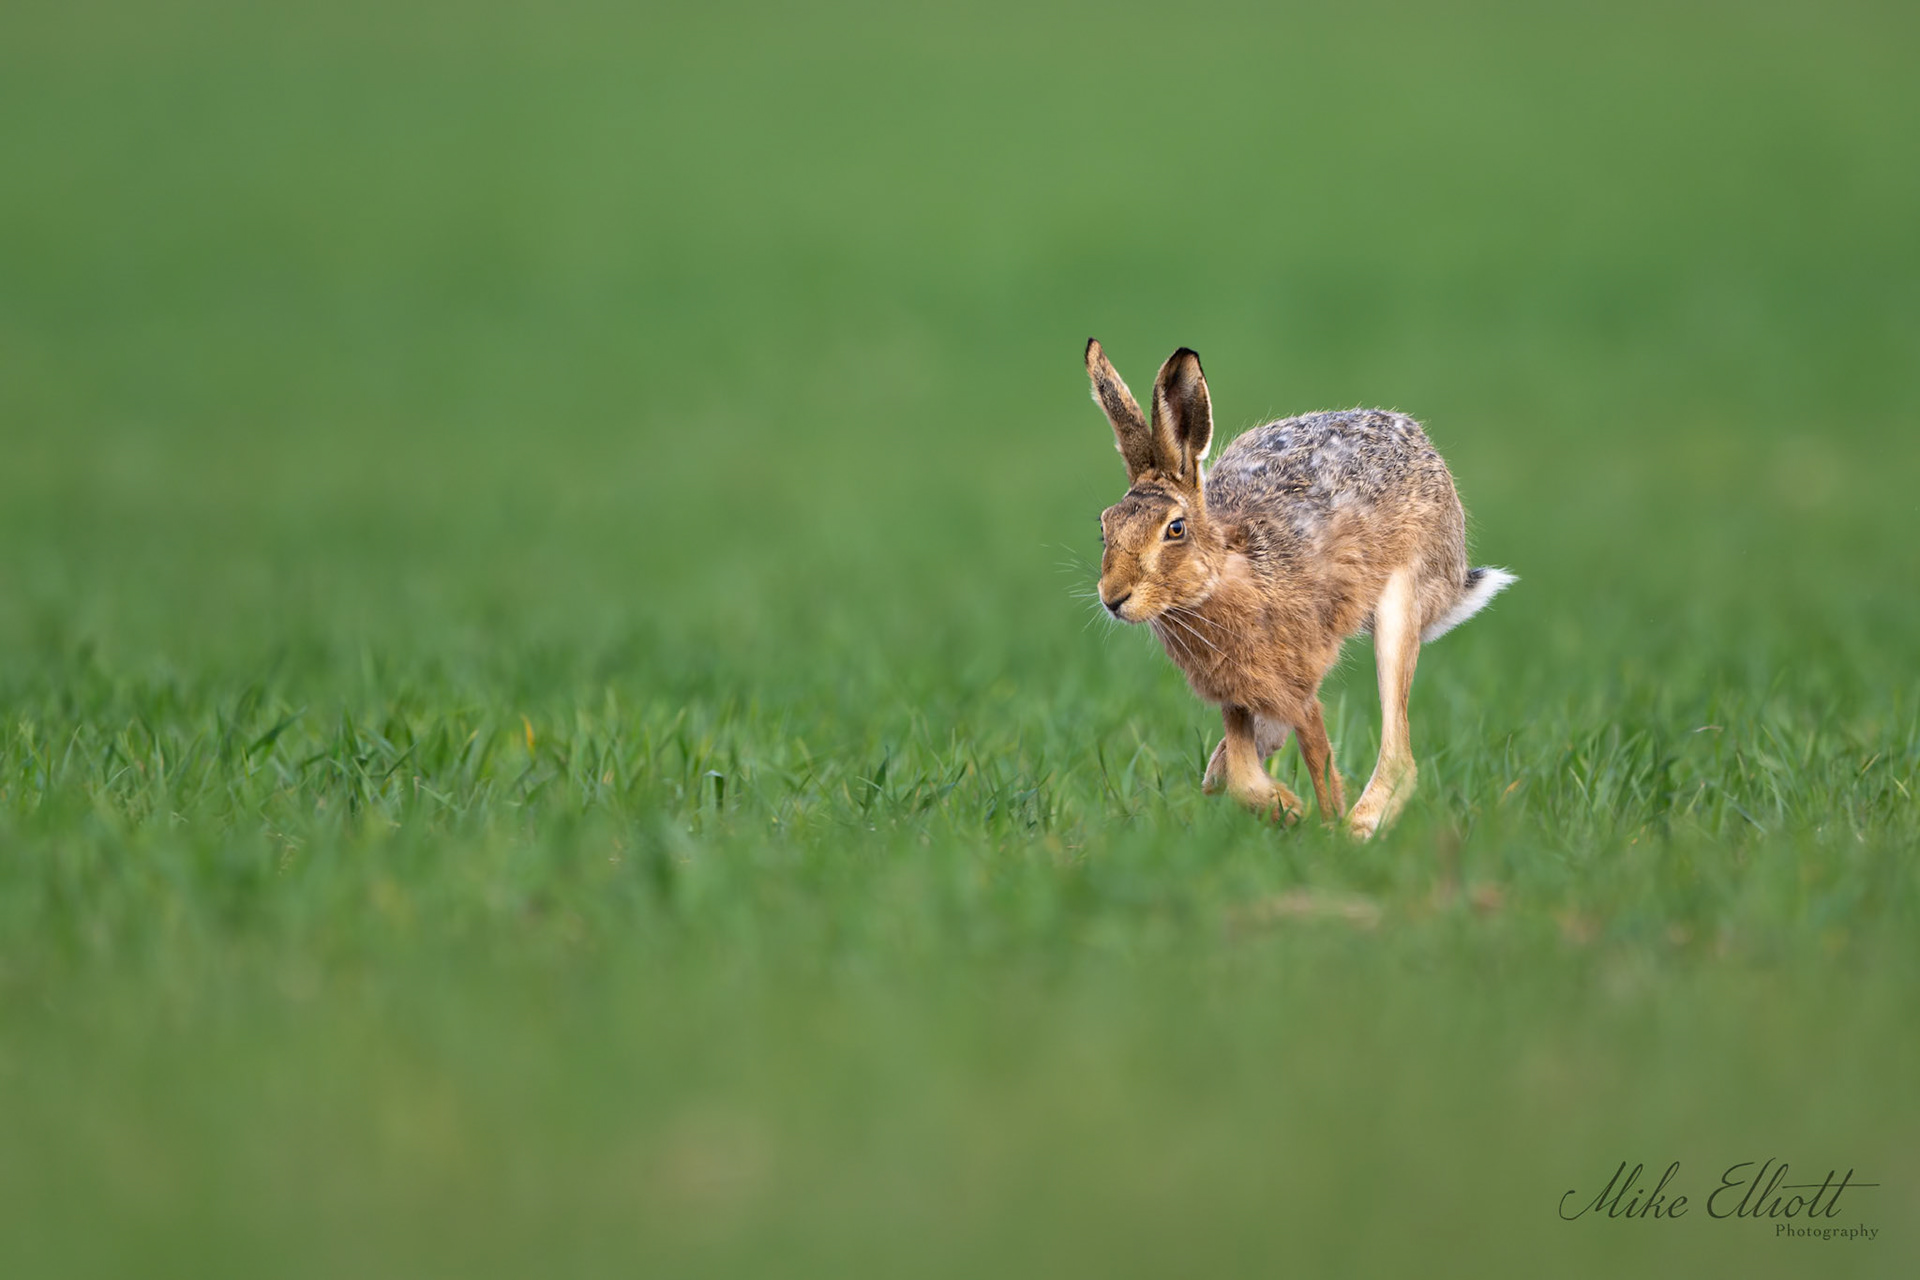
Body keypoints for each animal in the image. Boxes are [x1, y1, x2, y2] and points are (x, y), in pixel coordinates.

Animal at [1084, 339, 1513, 838]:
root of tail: (1422, 444)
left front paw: (1319, 825)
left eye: (1175, 529)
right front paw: (1285, 809)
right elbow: (1243, 776)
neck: (1226, 574)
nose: (1113, 597)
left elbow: (1318, 759)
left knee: (1399, 755)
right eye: (1104, 529)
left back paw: (1358, 829)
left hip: (1402, 604)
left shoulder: (1298, 689)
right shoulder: (1237, 697)